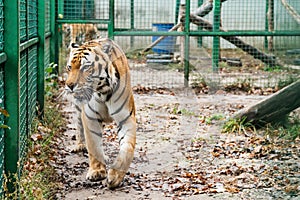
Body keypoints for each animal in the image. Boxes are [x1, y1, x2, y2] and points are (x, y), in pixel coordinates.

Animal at [65, 38, 137, 189]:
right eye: (69, 67)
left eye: (85, 67)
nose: (69, 85)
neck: (103, 91)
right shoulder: (90, 117)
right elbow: (93, 145)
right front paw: (97, 171)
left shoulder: (126, 118)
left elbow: (127, 148)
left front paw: (115, 176)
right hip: (78, 109)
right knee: (79, 128)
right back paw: (80, 145)